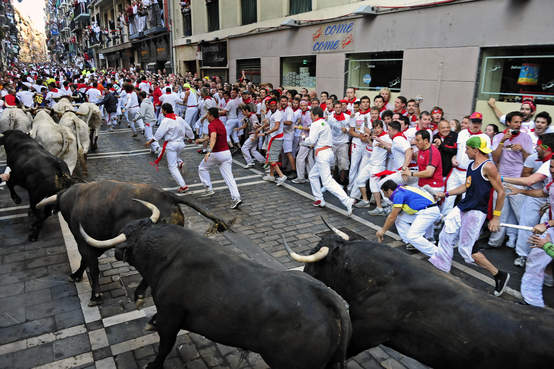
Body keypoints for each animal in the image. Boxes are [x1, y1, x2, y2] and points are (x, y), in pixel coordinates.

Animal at [36, 180, 227, 304]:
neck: (72, 200)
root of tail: (168, 196)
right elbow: (87, 261)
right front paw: (76, 275)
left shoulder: (84, 242)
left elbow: (92, 266)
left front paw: (95, 294)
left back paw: (139, 293)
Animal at [81, 218, 350, 368]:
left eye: (129, 235)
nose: (117, 252)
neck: (169, 256)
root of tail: (328, 298)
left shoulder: (171, 316)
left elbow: (164, 346)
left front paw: (153, 364)